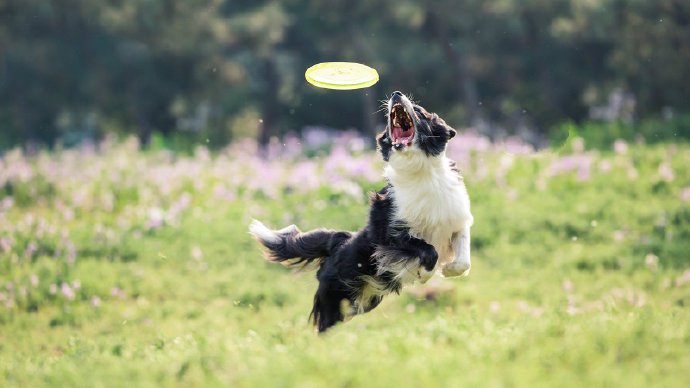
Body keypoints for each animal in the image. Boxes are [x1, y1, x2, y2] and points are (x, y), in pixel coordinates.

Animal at [249, 90, 472, 330]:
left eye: (420, 111)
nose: (396, 94)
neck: (422, 173)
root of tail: (338, 241)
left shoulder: (457, 222)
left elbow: (463, 259)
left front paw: (448, 269)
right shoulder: (391, 235)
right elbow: (429, 251)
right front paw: (423, 275)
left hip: (363, 300)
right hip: (335, 296)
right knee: (326, 323)